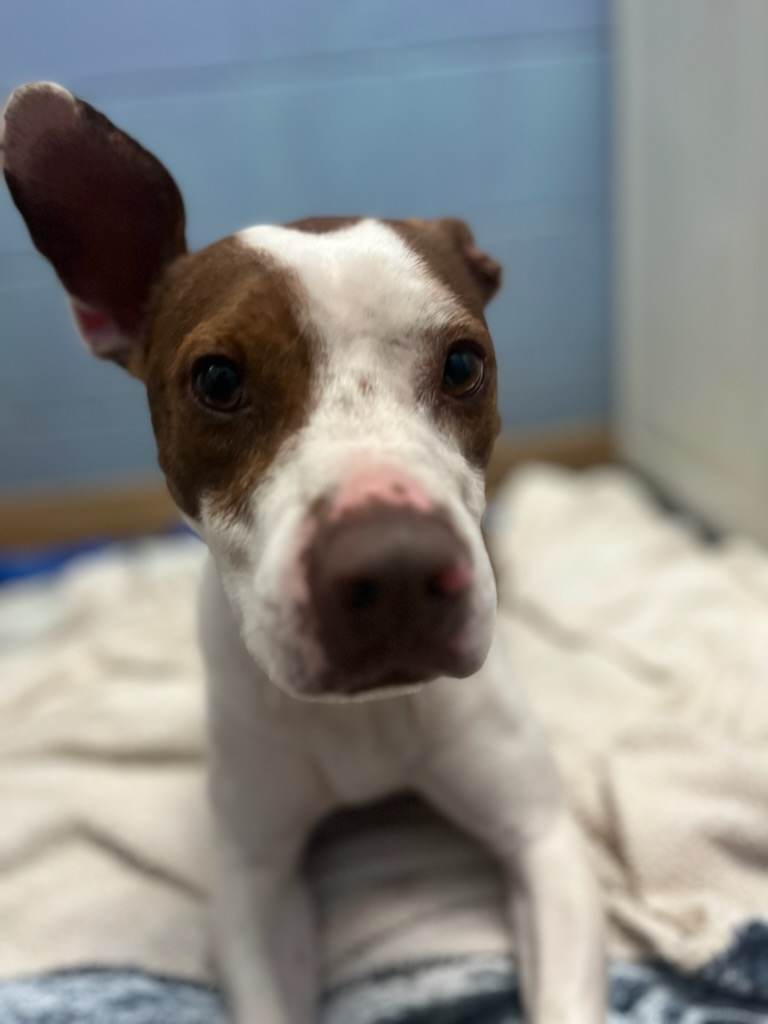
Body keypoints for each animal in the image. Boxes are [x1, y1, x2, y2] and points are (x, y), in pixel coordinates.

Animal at [1, 81, 606, 1024]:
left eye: (463, 364)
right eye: (217, 380)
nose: (396, 575)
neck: (364, 720)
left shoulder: (543, 840)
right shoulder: (255, 886)